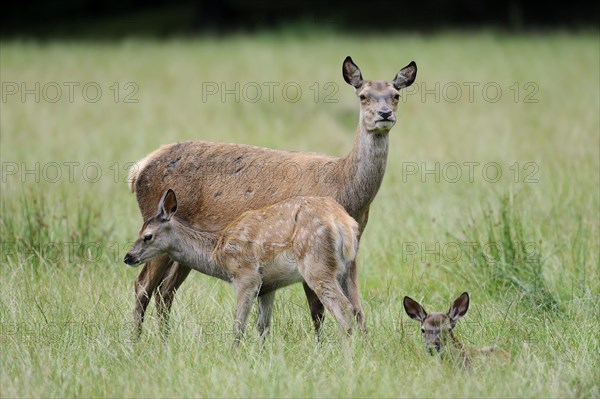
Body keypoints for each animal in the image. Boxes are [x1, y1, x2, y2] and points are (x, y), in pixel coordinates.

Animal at [125, 190, 360, 344]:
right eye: (139, 232)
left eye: (147, 236)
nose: (128, 257)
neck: (218, 253)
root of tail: (343, 223)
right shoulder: (268, 286)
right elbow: (263, 327)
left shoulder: (246, 276)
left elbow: (238, 326)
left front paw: (233, 355)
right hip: (345, 267)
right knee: (356, 308)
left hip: (316, 265)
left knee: (345, 309)